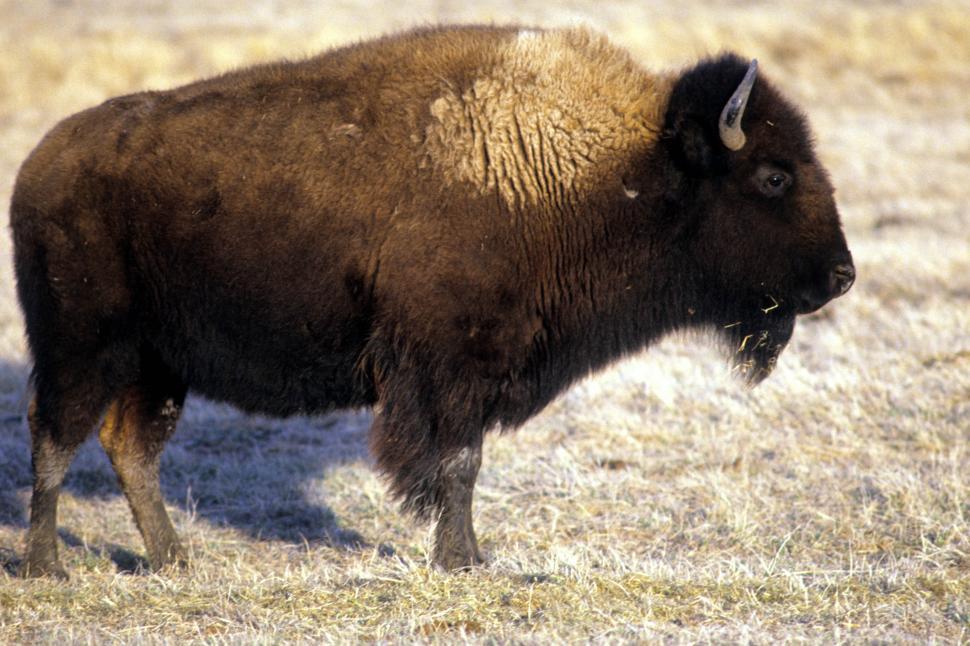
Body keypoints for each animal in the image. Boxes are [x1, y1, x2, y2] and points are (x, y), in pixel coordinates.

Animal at [10, 25, 853, 577]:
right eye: (775, 176)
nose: (843, 276)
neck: (611, 171)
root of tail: (41, 164)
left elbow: (462, 464)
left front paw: (469, 556)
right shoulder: (451, 369)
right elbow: (458, 464)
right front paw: (462, 561)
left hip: (157, 363)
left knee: (128, 446)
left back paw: (173, 560)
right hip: (83, 345)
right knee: (55, 438)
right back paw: (47, 566)